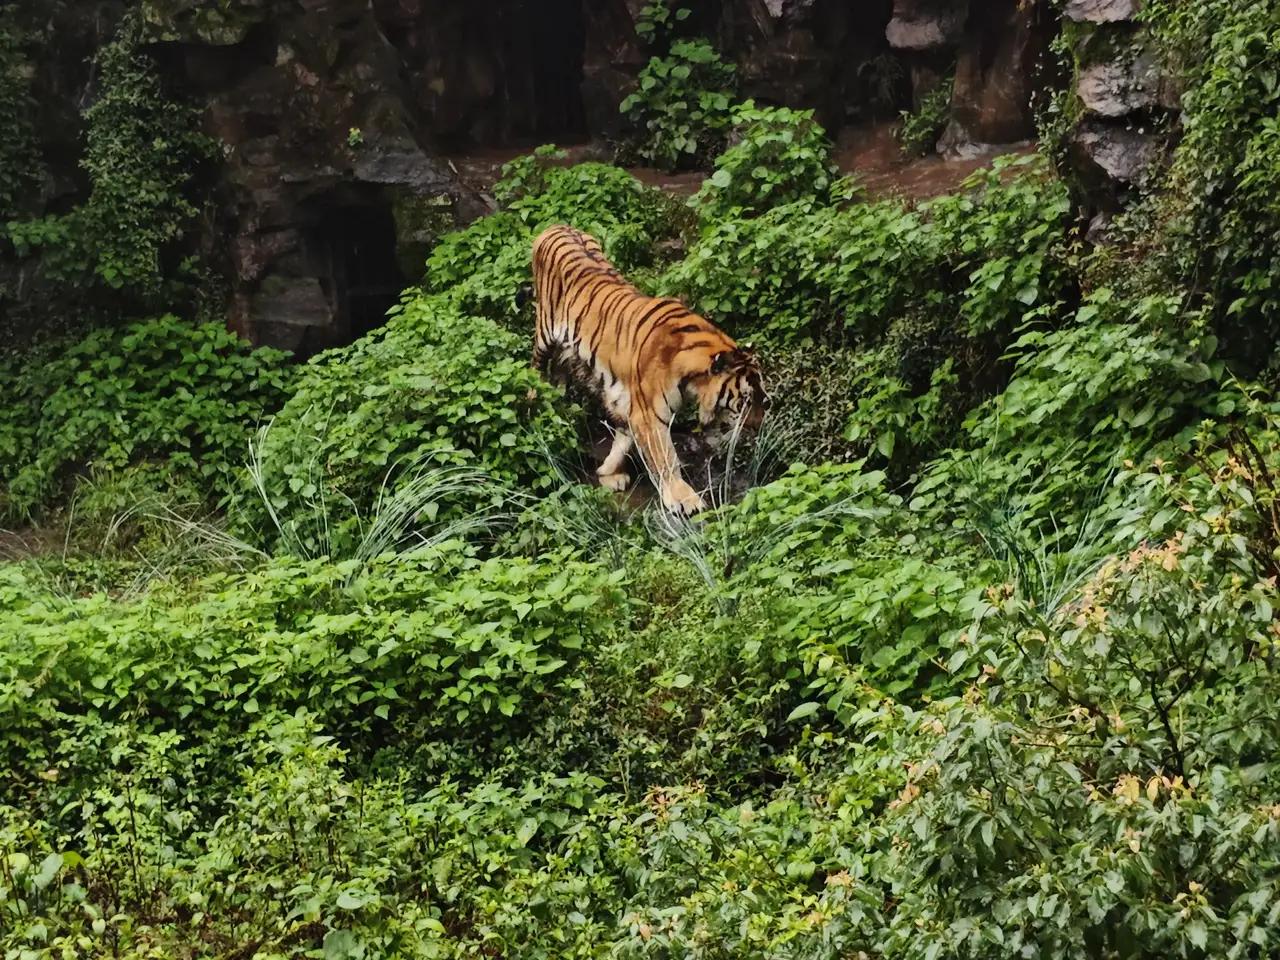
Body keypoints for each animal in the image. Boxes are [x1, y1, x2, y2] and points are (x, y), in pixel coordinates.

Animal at [530, 224, 768, 516]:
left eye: (763, 398)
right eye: (744, 400)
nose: (758, 427)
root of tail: (555, 226)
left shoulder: (629, 403)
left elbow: (624, 437)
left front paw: (608, 473)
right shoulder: (649, 415)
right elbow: (665, 457)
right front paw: (683, 499)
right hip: (544, 335)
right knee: (534, 371)